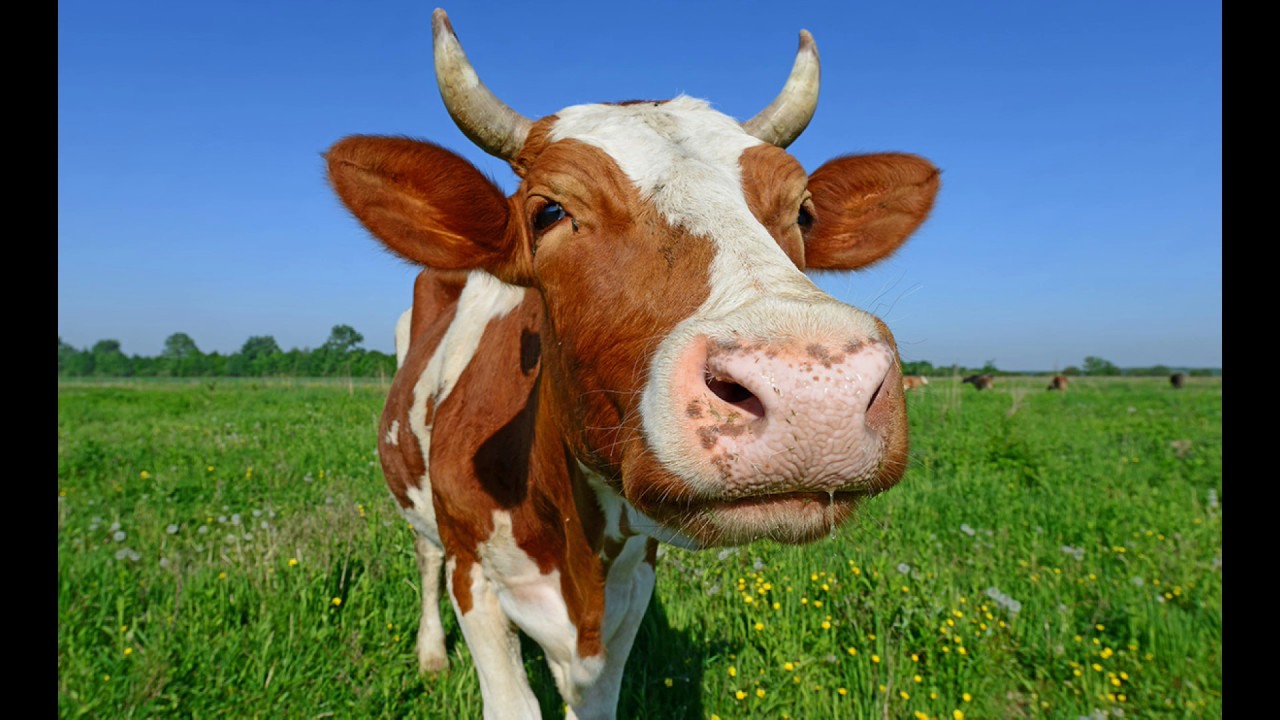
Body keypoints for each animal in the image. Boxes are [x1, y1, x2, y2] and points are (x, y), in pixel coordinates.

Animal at [325, 9, 940, 719]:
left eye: (804, 212)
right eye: (550, 210)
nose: (816, 386)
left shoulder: (633, 582)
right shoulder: (473, 572)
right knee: (424, 560)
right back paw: (429, 654)